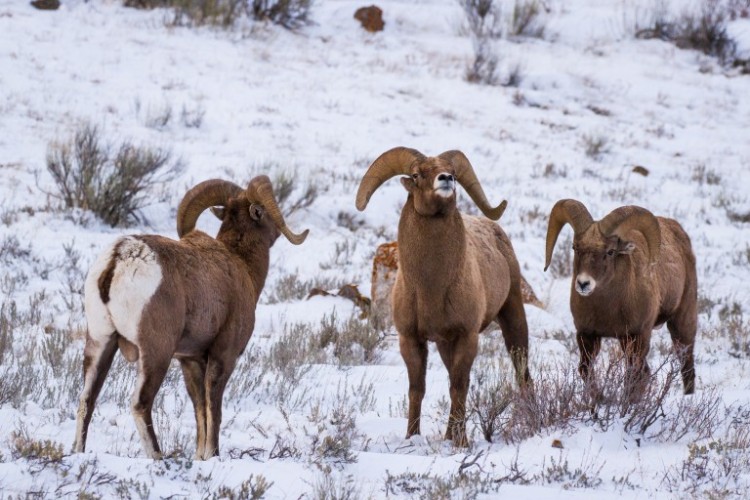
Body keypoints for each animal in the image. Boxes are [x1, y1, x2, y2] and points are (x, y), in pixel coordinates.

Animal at [73, 176, 308, 460]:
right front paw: (213, 455)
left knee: (87, 400)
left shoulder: (190, 360)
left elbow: (200, 410)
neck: (241, 264)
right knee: (140, 404)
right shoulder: (223, 356)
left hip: (100, 343)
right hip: (156, 354)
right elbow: (213, 409)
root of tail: (119, 261)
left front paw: (199, 457)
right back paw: (158, 457)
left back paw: (78, 452)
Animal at [356, 146, 528, 448]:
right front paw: (411, 438)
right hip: (446, 345)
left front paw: (459, 443)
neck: (431, 288)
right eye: (416, 174)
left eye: (454, 172)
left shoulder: (467, 336)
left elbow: (459, 386)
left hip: (512, 315)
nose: (446, 179)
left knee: (521, 370)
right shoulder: (412, 339)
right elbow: (417, 389)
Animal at [548, 199, 700, 398]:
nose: (583, 283)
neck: (607, 309)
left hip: (682, 323)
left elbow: (635, 375)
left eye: (610, 251)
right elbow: (585, 369)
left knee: (685, 365)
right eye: (575, 247)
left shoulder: (638, 335)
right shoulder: (587, 335)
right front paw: (599, 399)